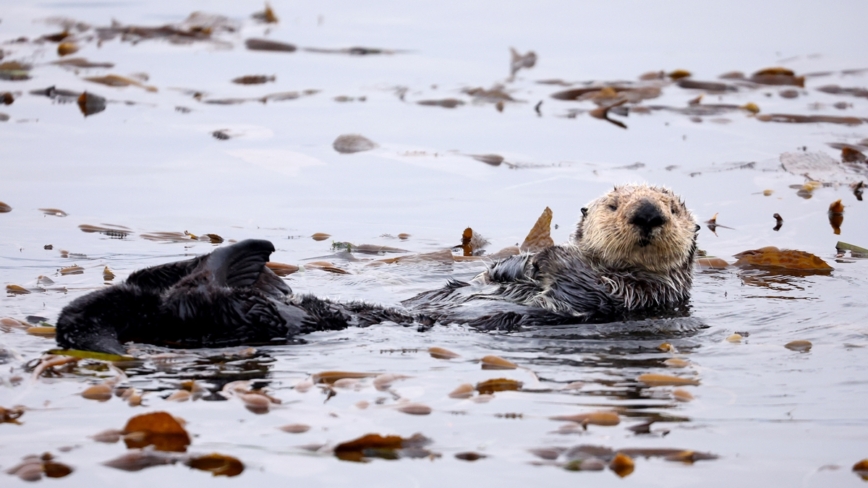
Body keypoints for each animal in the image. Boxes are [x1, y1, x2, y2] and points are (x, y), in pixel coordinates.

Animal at [56, 185, 700, 352]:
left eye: (672, 207)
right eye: (615, 205)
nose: (647, 213)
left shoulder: (638, 296)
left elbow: (580, 282)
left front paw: (541, 257)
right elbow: (503, 272)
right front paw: (511, 262)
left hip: (244, 315)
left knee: (205, 297)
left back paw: (243, 255)